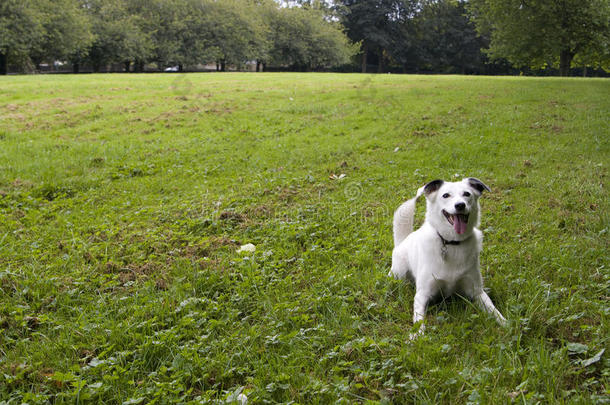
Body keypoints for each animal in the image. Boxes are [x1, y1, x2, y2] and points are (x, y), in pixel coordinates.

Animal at [390, 178, 504, 336]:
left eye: (467, 194)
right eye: (445, 195)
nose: (460, 205)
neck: (452, 243)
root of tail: (402, 242)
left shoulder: (477, 292)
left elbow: (493, 309)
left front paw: (507, 324)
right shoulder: (422, 295)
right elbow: (419, 318)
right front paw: (418, 335)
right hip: (399, 273)